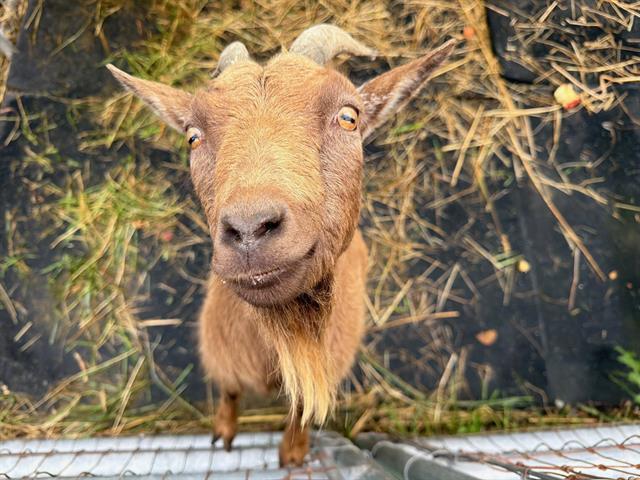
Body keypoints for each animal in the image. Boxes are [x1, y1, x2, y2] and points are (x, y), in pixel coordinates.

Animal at [108, 24, 454, 466]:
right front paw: (223, 432)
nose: (250, 228)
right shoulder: (224, 360)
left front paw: (293, 453)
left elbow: (303, 405)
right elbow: (230, 392)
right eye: (192, 136)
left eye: (349, 117)